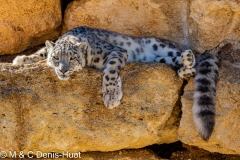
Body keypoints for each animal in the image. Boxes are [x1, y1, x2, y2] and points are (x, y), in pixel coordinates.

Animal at [12, 26, 225, 140]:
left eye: (72, 58)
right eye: (56, 58)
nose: (63, 70)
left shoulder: (116, 52)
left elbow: (111, 71)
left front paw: (111, 95)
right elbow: (41, 52)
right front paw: (21, 60)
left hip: (160, 46)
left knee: (192, 60)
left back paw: (187, 59)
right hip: (161, 58)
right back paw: (183, 67)